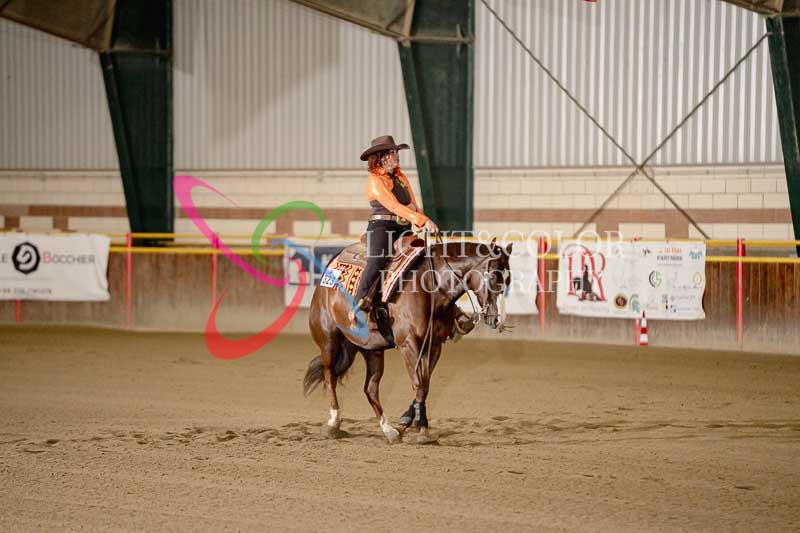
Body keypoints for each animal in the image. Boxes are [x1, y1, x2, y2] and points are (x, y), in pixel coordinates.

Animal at [303, 235, 512, 444]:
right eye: (494, 277)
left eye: (508, 280)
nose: (498, 320)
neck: (431, 285)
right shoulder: (408, 344)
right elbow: (418, 384)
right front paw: (422, 430)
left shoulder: (434, 345)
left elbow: (425, 385)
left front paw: (406, 424)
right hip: (328, 340)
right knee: (330, 377)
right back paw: (333, 424)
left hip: (372, 349)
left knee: (370, 388)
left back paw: (388, 430)